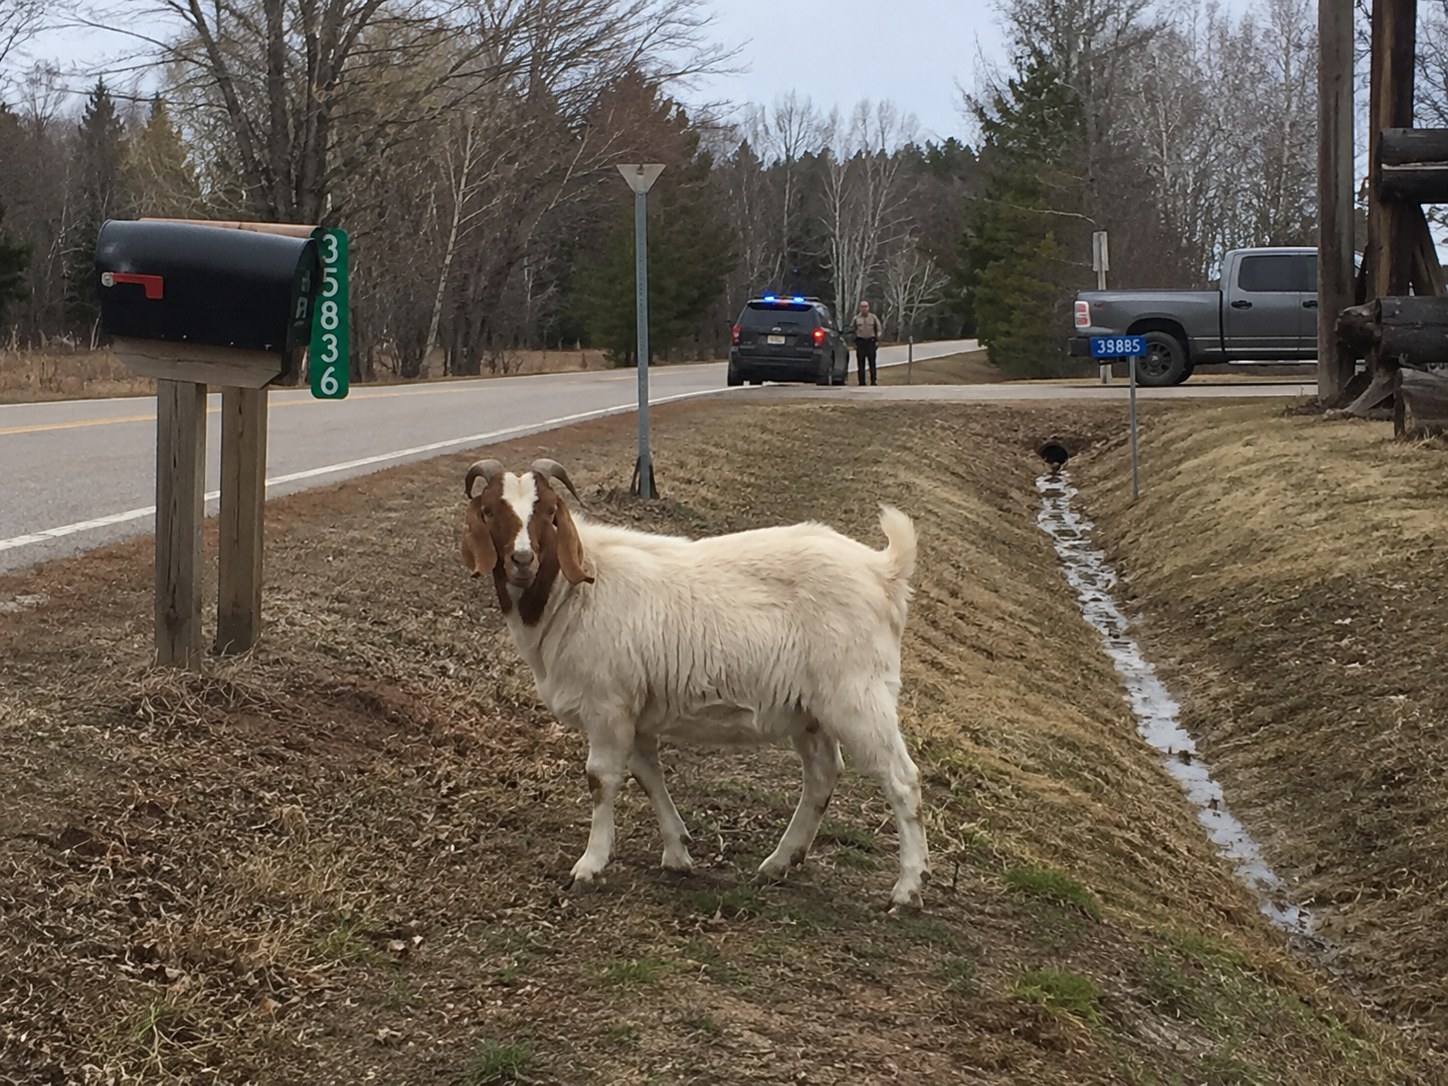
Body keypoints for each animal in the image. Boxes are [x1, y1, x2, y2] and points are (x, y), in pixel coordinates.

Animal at [459, 457, 930, 908]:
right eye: (490, 511)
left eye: (550, 513)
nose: (522, 560)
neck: (574, 590)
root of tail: (883, 571)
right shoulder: (636, 710)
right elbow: (649, 775)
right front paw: (677, 852)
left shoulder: (608, 705)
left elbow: (600, 779)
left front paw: (590, 865)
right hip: (809, 710)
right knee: (822, 775)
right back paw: (779, 862)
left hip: (858, 694)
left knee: (902, 779)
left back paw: (908, 889)